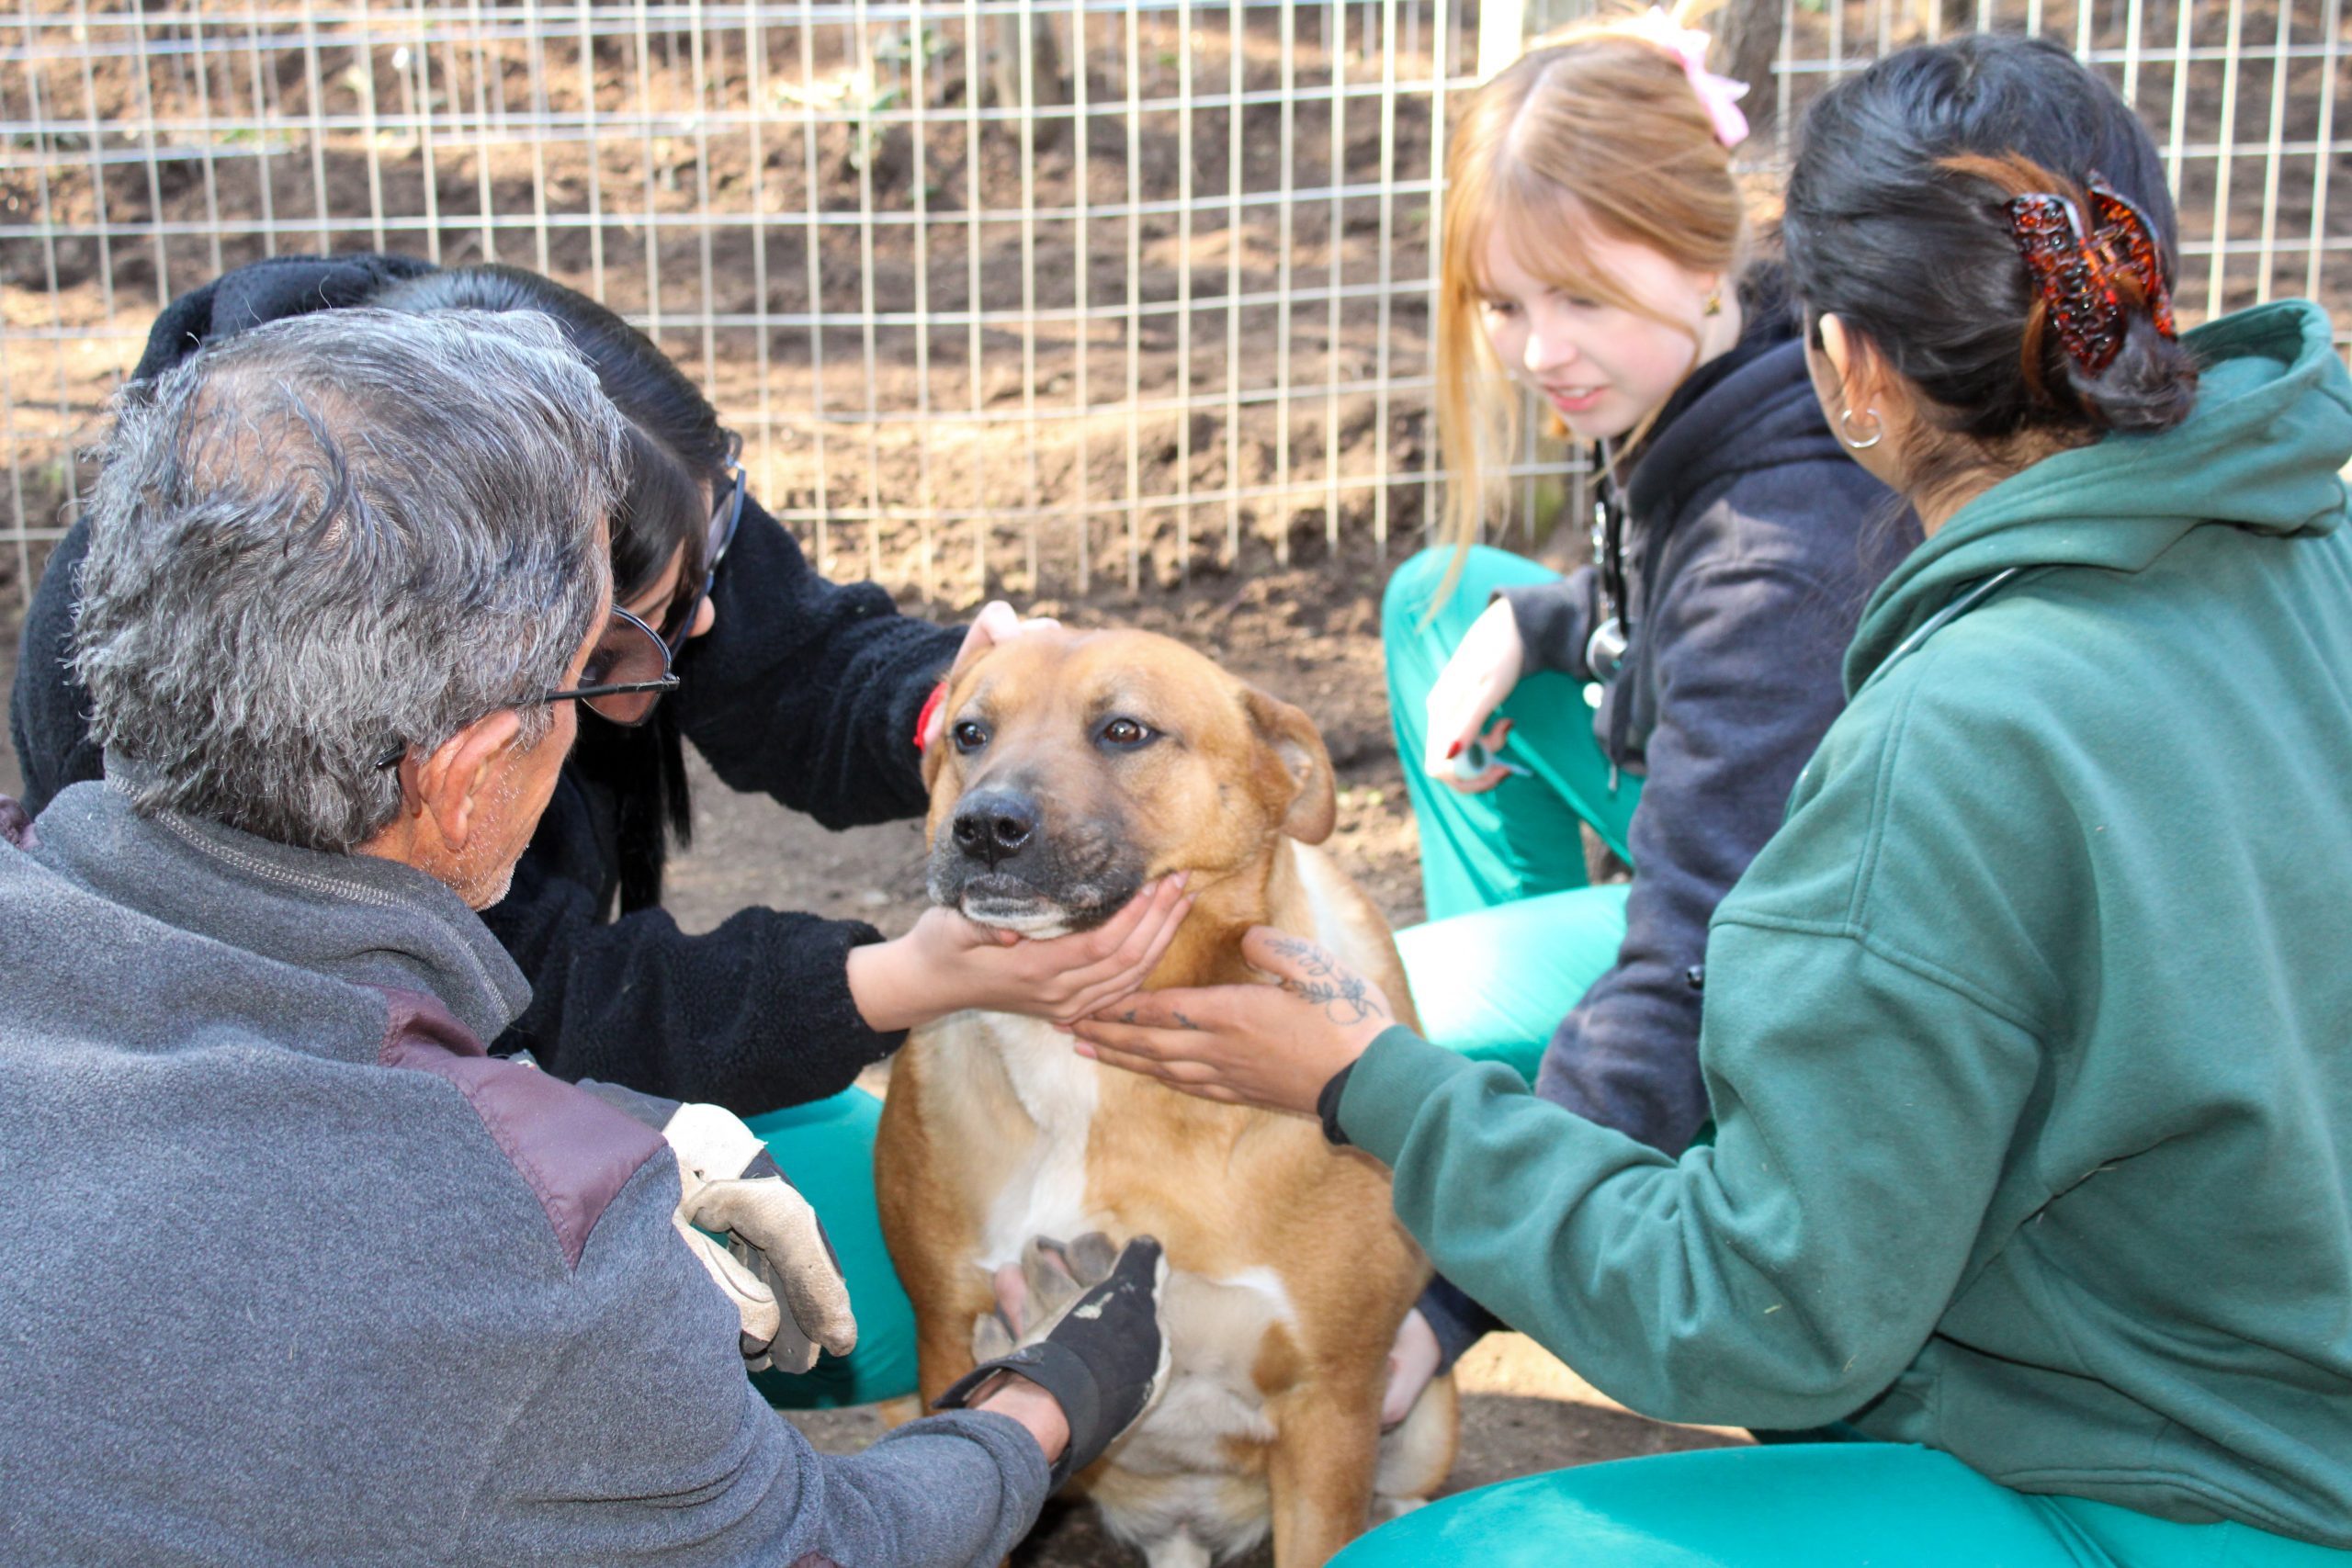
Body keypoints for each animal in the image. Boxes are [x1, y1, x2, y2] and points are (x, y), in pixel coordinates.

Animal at [879, 629, 1448, 1568]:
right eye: (969, 732)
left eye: (1124, 730)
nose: (986, 826)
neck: (1090, 1071)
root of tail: (1190, 1529)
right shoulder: (943, 1343)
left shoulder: (1331, 1409)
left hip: (1419, 1420)